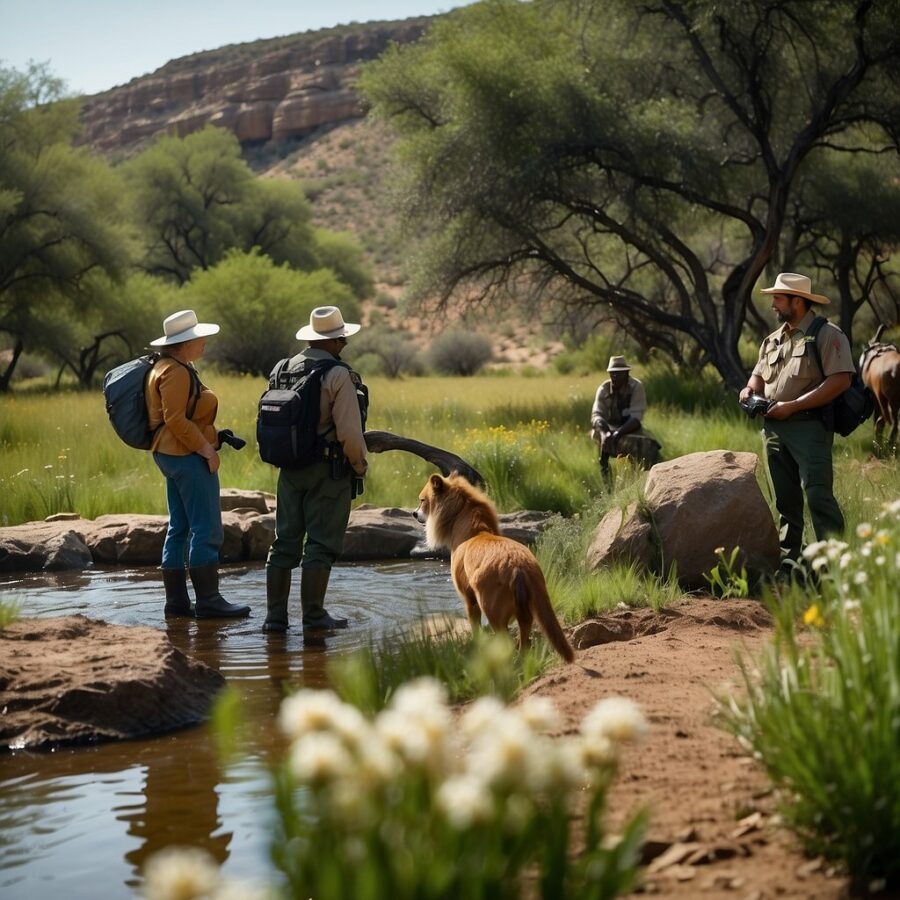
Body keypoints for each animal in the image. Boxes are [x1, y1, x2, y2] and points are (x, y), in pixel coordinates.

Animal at [416, 474, 576, 664]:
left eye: (422, 500)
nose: (414, 513)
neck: (474, 532)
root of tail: (518, 567)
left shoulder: (469, 598)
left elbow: (475, 626)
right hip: (531, 606)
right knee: (524, 640)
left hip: (492, 609)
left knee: (506, 642)